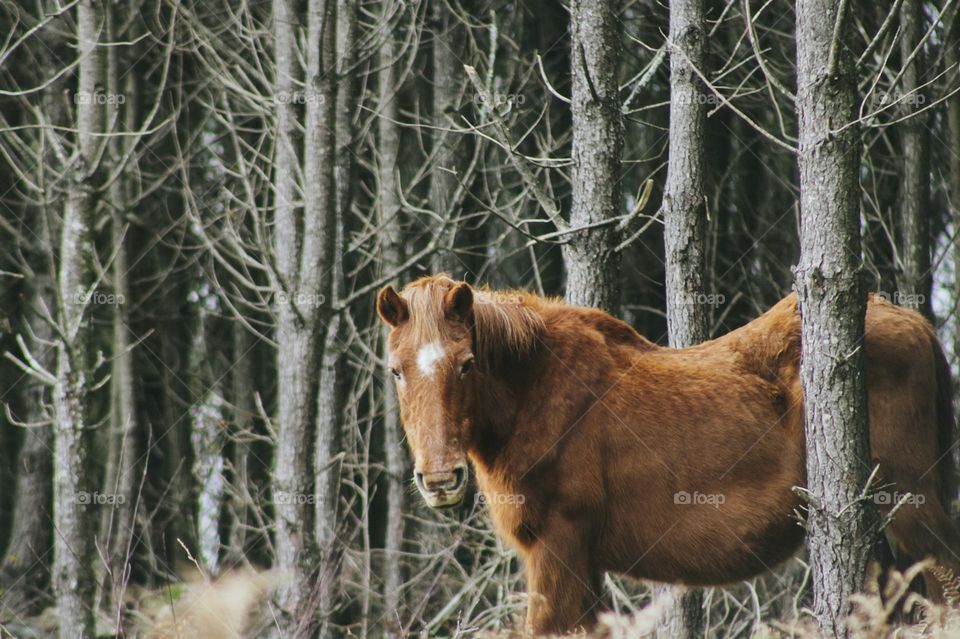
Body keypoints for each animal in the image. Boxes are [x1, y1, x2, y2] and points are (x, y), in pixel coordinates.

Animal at [375, 274, 960, 635]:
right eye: (396, 370)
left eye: (467, 364)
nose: (440, 480)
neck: (539, 392)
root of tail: (913, 322)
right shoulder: (582, 564)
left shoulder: (556, 552)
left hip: (911, 507)